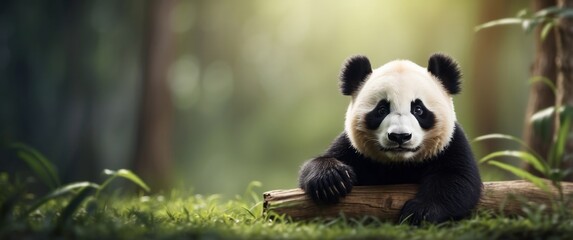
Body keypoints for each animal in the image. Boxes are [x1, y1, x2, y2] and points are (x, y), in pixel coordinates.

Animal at [300, 52, 482, 225]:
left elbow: (458, 180)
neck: (399, 163)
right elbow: (317, 165)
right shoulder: (354, 149)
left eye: (418, 109)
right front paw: (331, 180)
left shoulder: (451, 143)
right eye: (381, 110)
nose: (399, 136)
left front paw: (419, 212)